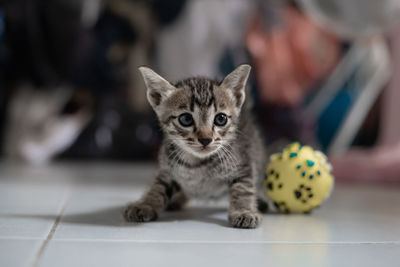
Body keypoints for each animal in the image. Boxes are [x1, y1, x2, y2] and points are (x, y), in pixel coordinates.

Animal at [123, 64, 268, 228]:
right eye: (186, 119)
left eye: (221, 119)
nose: (206, 139)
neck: (196, 164)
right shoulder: (166, 169)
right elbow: (157, 187)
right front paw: (145, 205)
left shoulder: (243, 164)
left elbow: (243, 189)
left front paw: (244, 211)